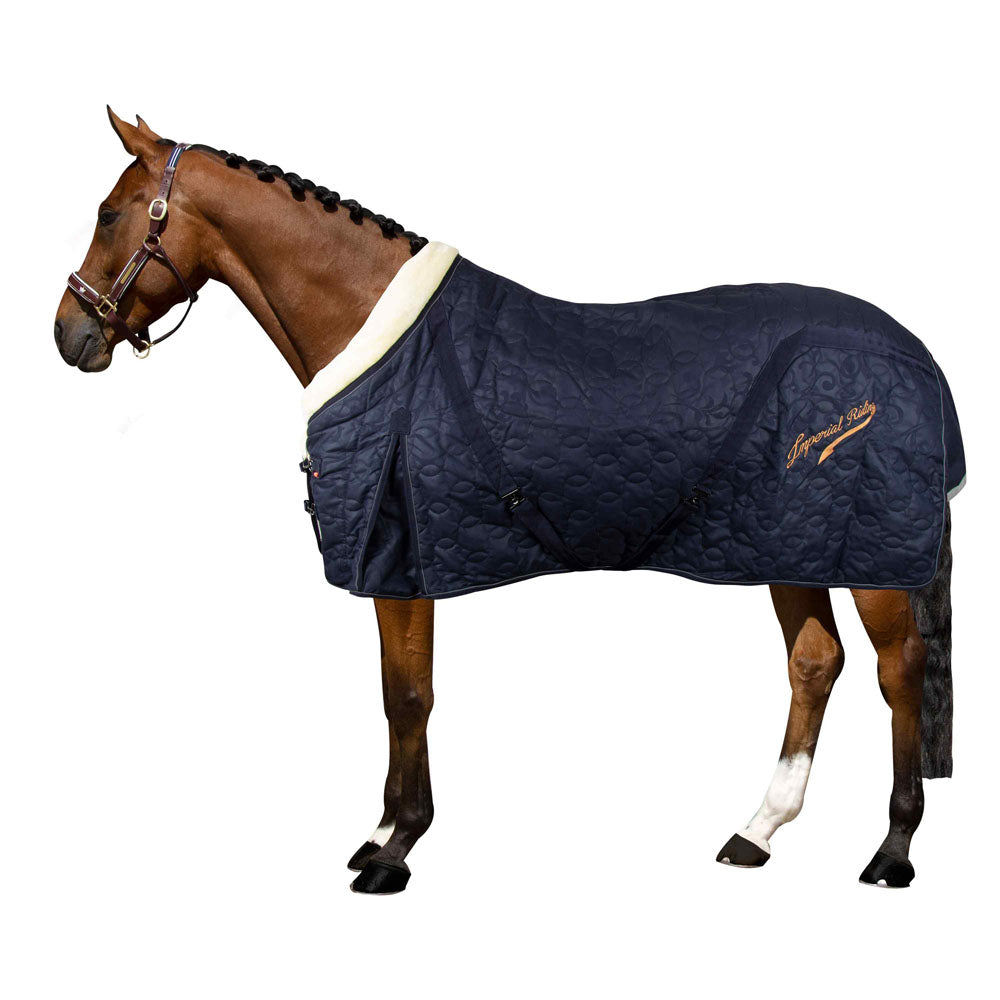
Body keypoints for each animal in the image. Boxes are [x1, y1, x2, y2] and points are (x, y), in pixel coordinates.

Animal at [54, 109, 962, 895]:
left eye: (109, 214)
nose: (69, 334)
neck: (380, 334)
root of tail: (914, 354)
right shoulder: (399, 566)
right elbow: (395, 691)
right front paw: (379, 836)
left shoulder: (405, 560)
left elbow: (410, 697)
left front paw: (397, 851)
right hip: (787, 541)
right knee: (815, 663)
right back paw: (756, 832)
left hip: (869, 556)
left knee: (898, 669)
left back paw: (892, 850)